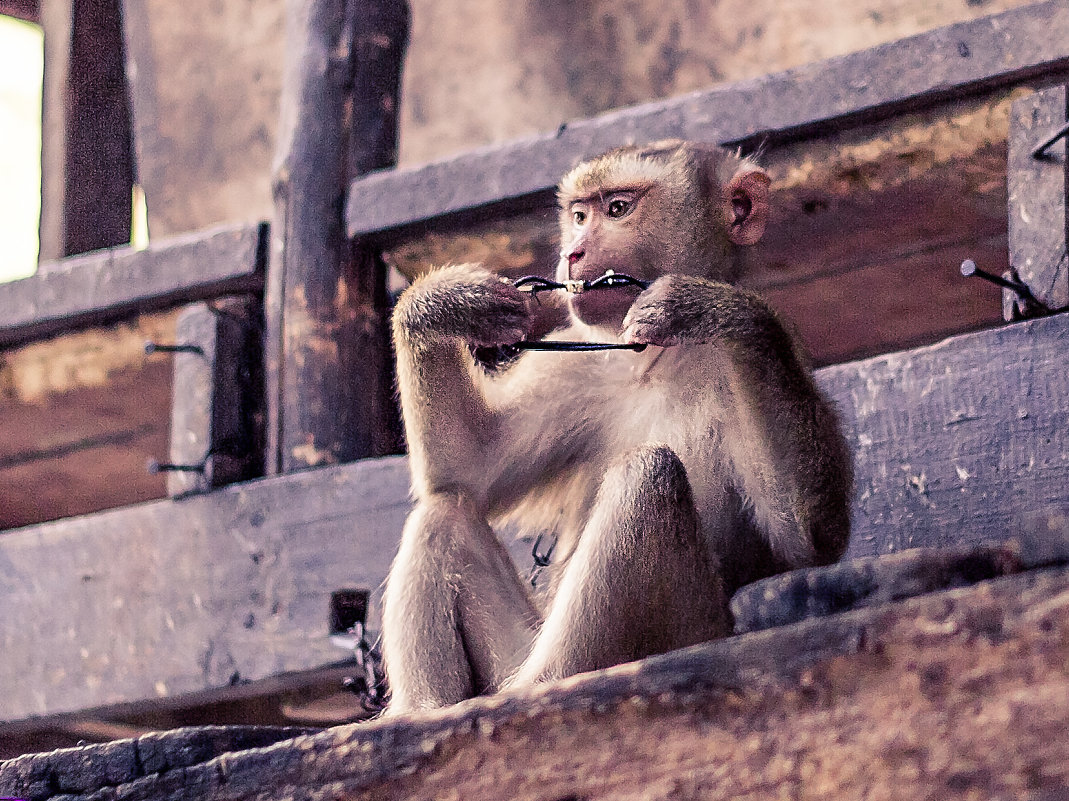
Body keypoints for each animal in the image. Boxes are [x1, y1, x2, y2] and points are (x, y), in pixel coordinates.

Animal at [380, 137, 846, 714]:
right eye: (579, 216)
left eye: (618, 209)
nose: (573, 252)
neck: (652, 360)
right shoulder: (573, 362)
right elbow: (467, 469)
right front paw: (443, 303)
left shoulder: (774, 350)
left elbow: (804, 543)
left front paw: (712, 307)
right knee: (445, 510)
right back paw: (426, 711)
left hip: (691, 627)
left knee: (648, 473)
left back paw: (545, 687)